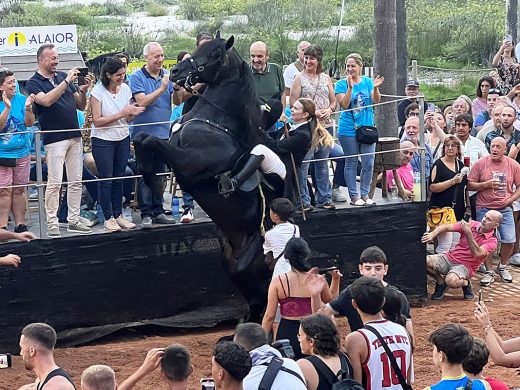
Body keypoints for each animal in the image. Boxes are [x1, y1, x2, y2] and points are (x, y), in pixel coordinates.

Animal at [132, 32, 282, 320]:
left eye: (214, 53)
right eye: (197, 48)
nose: (175, 71)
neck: (214, 120)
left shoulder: (191, 164)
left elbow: (151, 141)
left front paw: (151, 178)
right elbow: (142, 137)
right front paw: (150, 178)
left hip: (250, 270)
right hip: (233, 268)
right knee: (257, 303)